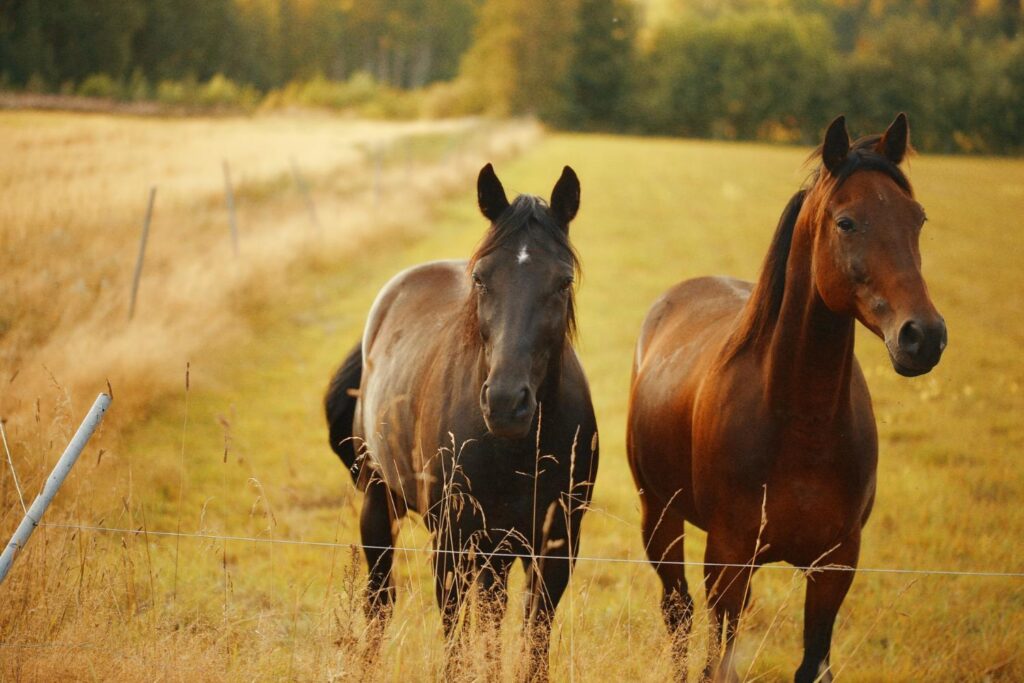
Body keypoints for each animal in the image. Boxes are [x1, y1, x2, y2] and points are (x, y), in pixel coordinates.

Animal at [325, 163, 599, 680]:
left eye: (563, 281)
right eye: (481, 279)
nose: (507, 402)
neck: (514, 449)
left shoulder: (555, 546)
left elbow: (532, 635)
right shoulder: (451, 541)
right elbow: (455, 633)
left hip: (495, 549)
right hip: (379, 498)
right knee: (380, 599)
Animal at [626, 114, 946, 682]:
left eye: (918, 219)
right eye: (846, 222)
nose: (923, 336)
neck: (801, 423)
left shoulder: (835, 565)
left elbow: (812, 664)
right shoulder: (728, 560)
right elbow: (717, 662)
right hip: (659, 517)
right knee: (677, 612)